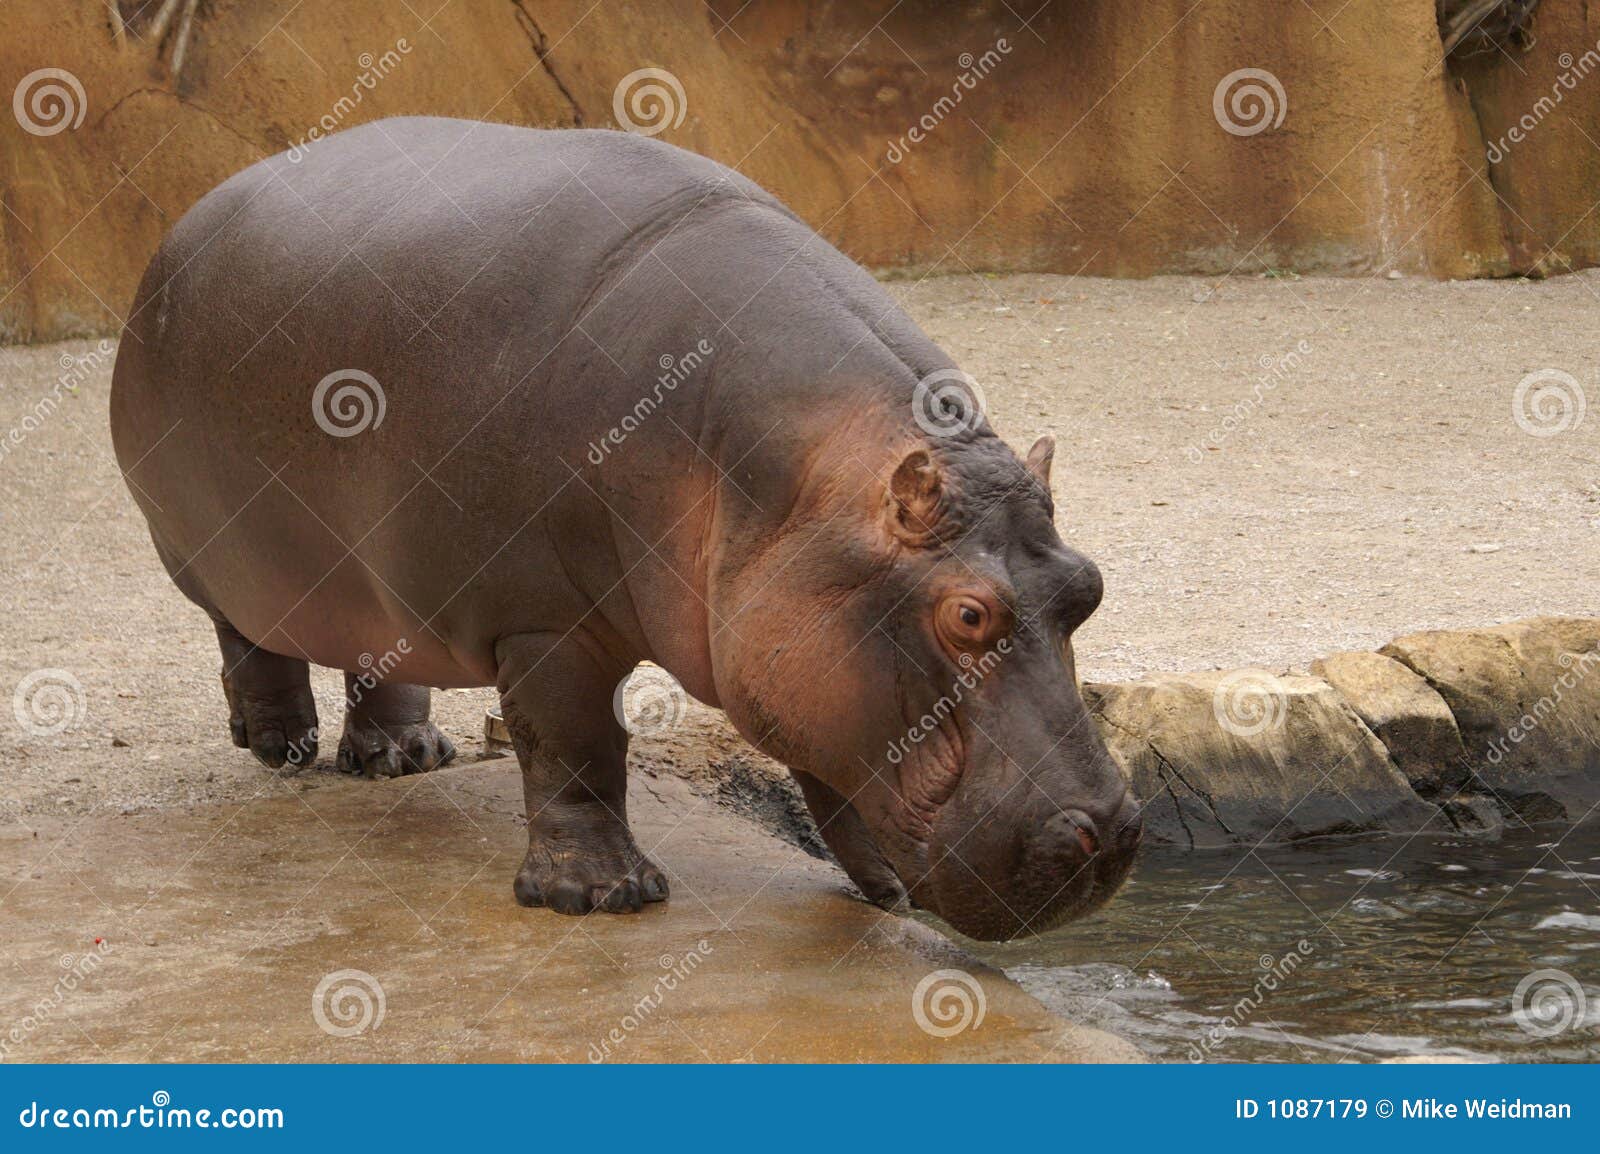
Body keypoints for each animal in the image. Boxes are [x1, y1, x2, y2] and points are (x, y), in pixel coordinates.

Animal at [110, 117, 1140, 941]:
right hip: (208, 553)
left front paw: (882, 890)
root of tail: (190, 217)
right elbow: (576, 746)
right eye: (967, 617)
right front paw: (600, 898)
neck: (786, 483)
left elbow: (832, 766)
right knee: (248, 639)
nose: (1111, 835)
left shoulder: (798, 635)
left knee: (380, 650)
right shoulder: (546, 620)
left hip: (374, 574)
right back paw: (279, 746)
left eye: (1089, 587)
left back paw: (404, 761)